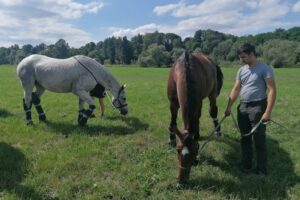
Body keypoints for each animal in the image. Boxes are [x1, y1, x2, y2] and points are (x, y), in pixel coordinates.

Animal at [166, 51, 223, 183]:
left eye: (194, 152)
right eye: (178, 150)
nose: (181, 179)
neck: (184, 69)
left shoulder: (198, 101)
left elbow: (197, 119)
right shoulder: (173, 103)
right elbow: (173, 121)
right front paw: (171, 138)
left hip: (212, 93)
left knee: (213, 111)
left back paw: (217, 130)